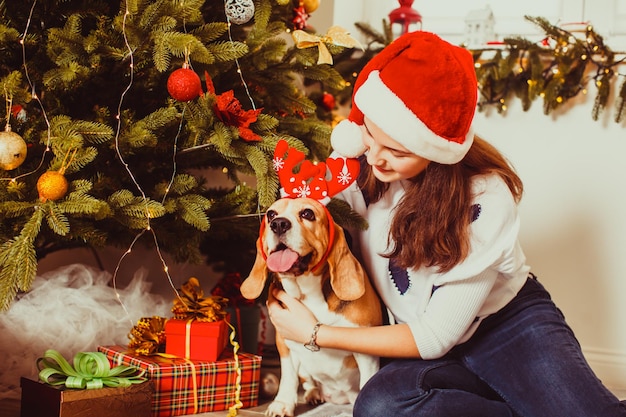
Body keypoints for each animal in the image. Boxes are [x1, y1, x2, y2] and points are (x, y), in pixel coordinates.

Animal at [241, 197, 382, 414]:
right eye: (271, 214)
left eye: (307, 213)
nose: (278, 224)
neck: (307, 293)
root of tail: (339, 397)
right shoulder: (285, 344)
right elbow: (287, 377)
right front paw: (282, 403)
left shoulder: (367, 352)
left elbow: (367, 382)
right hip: (305, 371)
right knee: (309, 382)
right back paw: (314, 394)